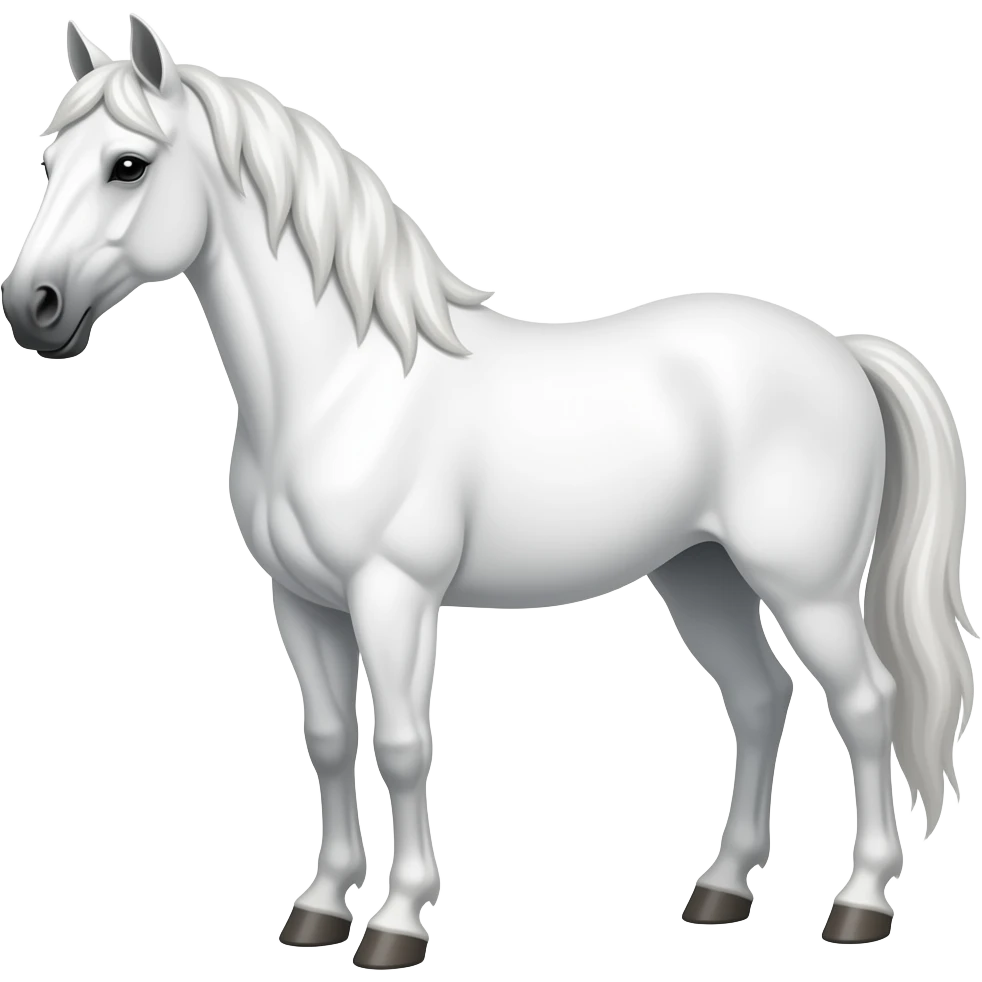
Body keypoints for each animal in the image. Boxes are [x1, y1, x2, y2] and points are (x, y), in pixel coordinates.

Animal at [2, 15, 974, 965]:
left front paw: (396, 924)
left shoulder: (392, 595)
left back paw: (859, 906)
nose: (31, 308)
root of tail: (840, 349)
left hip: (805, 586)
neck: (343, 384)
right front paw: (317, 911)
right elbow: (328, 741)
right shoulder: (301, 601)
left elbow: (400, 746)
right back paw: (721, 891)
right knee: (761, 697)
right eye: (48, 162)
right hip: (703, 574)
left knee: (866, 703)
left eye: (130, 164)